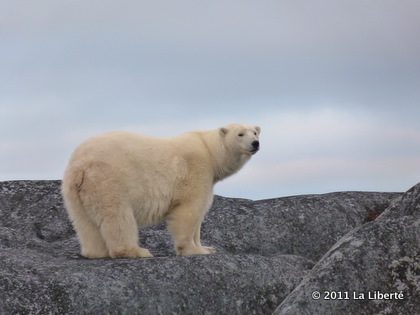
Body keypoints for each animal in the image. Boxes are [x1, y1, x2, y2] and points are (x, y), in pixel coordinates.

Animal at [61, 123, 260, 260]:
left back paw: (96, 252)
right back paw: (137, 251)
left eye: (255, 132)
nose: (255, 143)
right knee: (118, 216)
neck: (209, 150)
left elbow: (199, 215)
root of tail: (80, 165)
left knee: (84, 222)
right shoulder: (196, 170)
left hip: (75, 190)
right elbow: (189, 210)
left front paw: (207, 248)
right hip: (109, 180)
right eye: (240, 133)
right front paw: (192, 250)